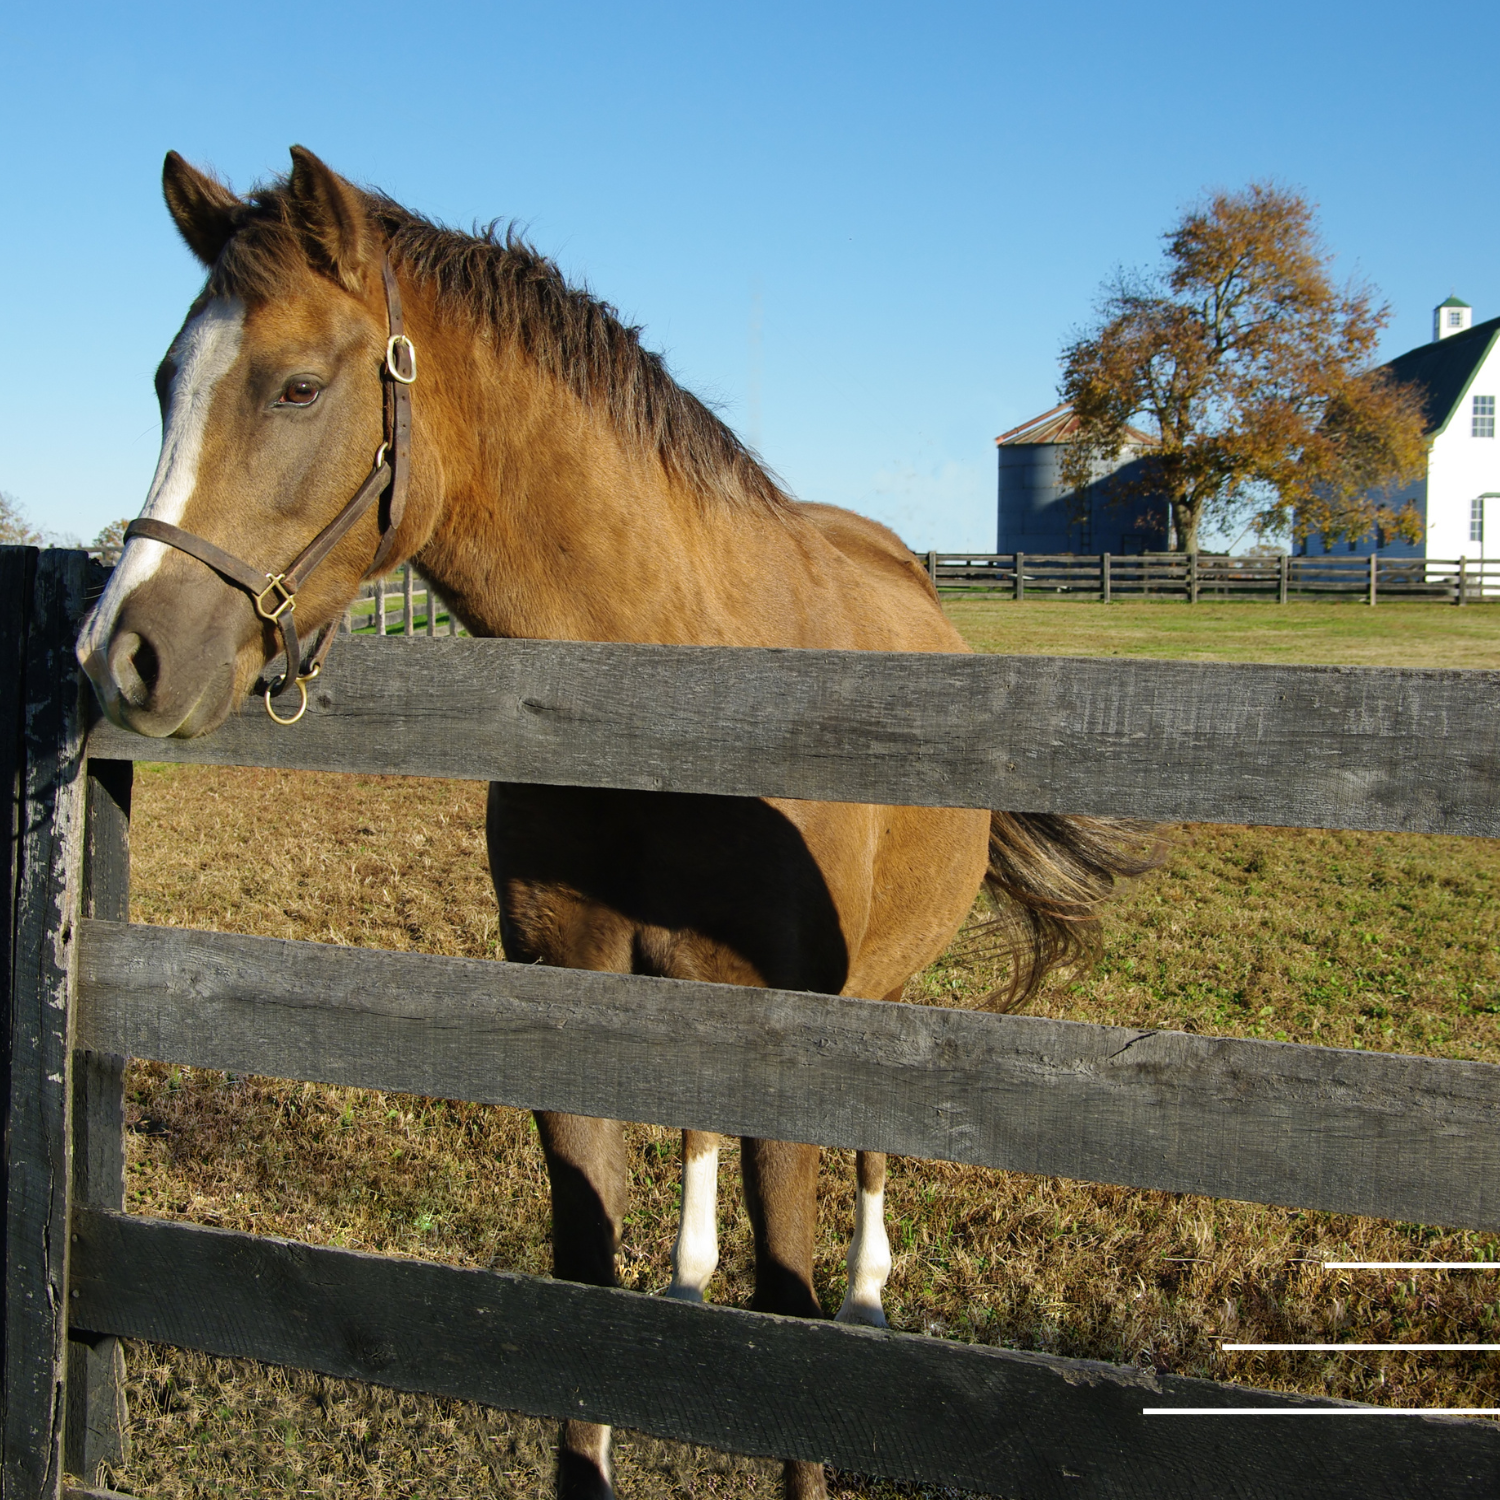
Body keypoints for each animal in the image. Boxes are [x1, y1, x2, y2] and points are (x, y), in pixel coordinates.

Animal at [76, 143, 1152, 1500]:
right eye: (167, 381)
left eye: (299, 387)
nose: (123, 655)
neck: (675, 696)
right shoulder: (574, 1004)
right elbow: (584, 1291)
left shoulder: (792, 1039)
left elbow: (792, 1319)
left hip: (878, 995)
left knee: (868, 1161)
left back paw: (870, 1294)